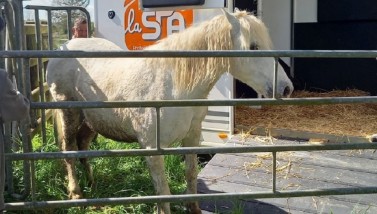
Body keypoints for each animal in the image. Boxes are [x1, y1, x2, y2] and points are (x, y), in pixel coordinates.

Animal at [46, 9, 294, 214]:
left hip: (90, 121)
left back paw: (92, 184)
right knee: (69, 150)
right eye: (253, 47)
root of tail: (63, 48)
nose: (286, 88)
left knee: (83, 148)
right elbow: (162, 190)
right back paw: (77, 193)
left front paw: (193, 208)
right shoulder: (152, 149)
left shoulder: (192, 138)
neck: (175, 85)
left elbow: (191, 175)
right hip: (69, 114)